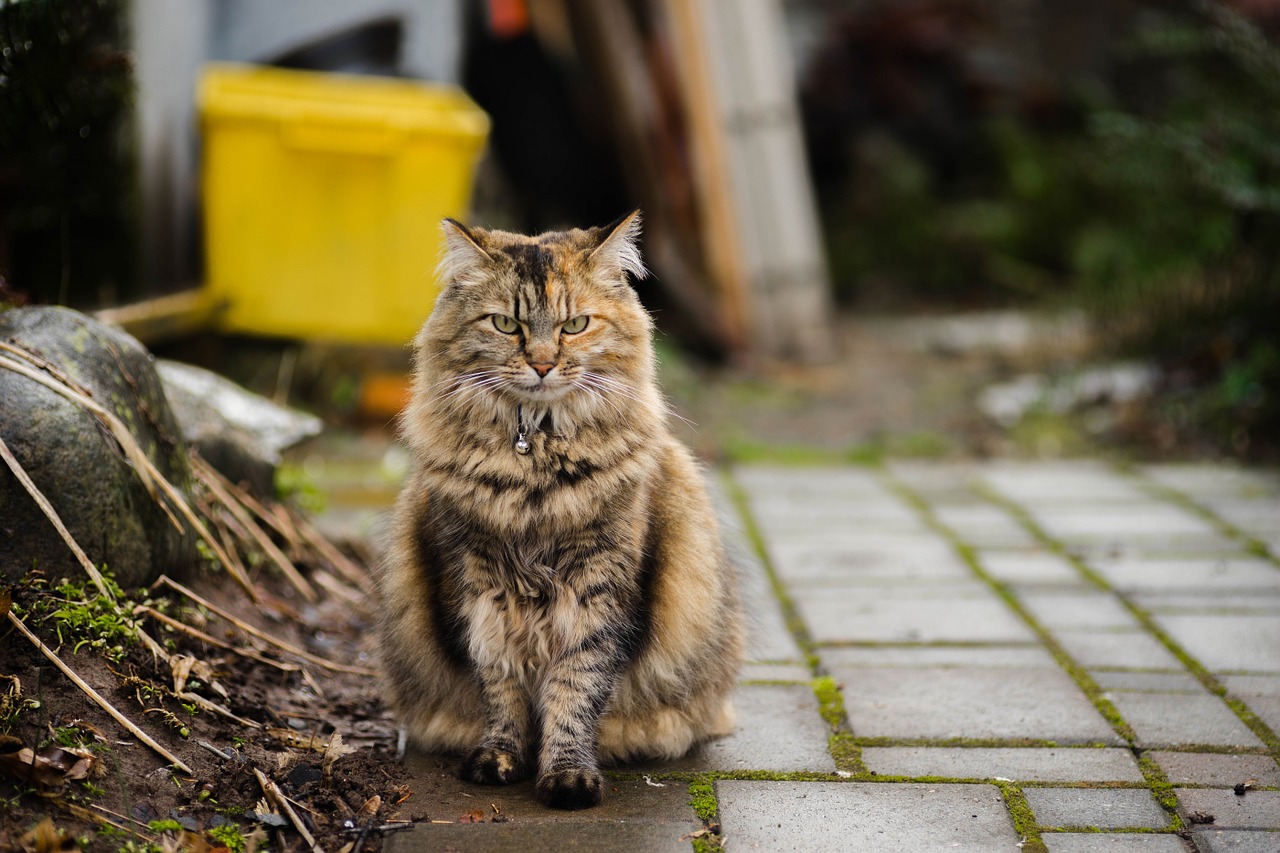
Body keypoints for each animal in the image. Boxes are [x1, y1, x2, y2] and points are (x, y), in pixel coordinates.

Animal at [373, 211, 747, 804]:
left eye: (575, 325)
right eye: (506, 324)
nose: (544, 364)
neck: (534, 473)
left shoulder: (601, 587)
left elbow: (575, 688)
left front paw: (568, 774)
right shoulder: (477, 584)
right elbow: (499, 684)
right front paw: (500, 757)